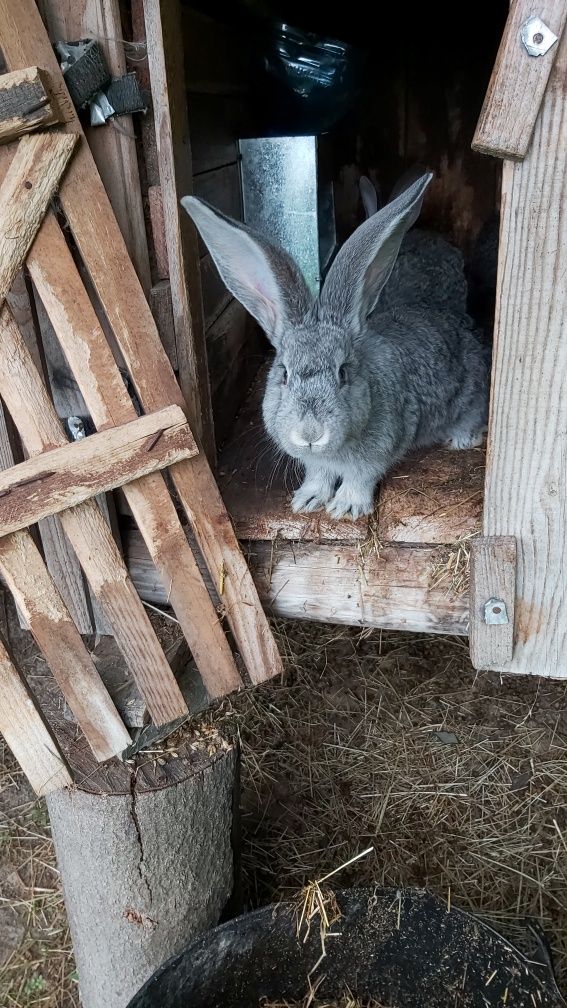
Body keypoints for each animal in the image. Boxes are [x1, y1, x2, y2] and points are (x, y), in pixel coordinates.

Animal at [180, 171, 486, 520]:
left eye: (342, 374)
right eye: (283, 374)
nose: (310, 434)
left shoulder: (375, 455)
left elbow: (359, 478)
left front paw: (346, 508)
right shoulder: (316, 464)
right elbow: (319, 476)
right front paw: (307, 500)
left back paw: (462, 439)